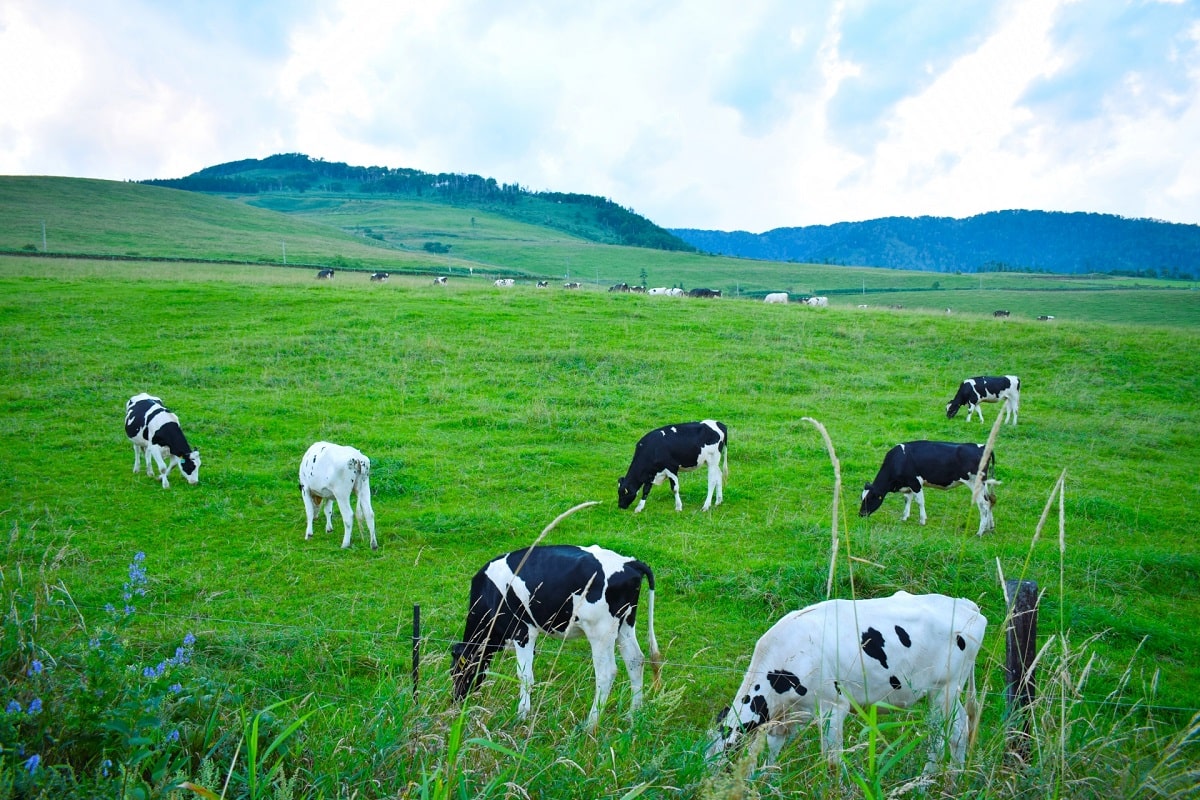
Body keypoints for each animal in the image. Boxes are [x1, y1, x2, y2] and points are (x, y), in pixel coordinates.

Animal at [451, 503, 662, 729]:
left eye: (455, 671)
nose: (456, 700)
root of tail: (630, 562)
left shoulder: (522, 631)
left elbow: (524, 675)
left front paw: (521, 716)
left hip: (600, 630)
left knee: (606, 673)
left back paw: (590, 724)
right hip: (625, 624)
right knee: (635, 660)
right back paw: (633, 715)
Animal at [700, 587, 984, 767]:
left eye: (721, 766)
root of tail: (966, 604)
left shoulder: (834, 707)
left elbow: (832, 761)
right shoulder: (787, 718)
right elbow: (772, 753)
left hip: (945, 690)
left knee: (952, 734)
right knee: (952, 731)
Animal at [859, 438, 998, 537]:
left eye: (869, 498)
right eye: (861, 498)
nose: (861, 514)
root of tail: (983, 446)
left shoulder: (915, 483)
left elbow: (920, 502)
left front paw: (922, 521)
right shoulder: (908, 484)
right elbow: (907, 499)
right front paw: (904, 517)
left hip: (975, 484)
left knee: (984, 505)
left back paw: (980, 532)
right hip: (984, 484)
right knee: (990, 501)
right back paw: (990, 527)